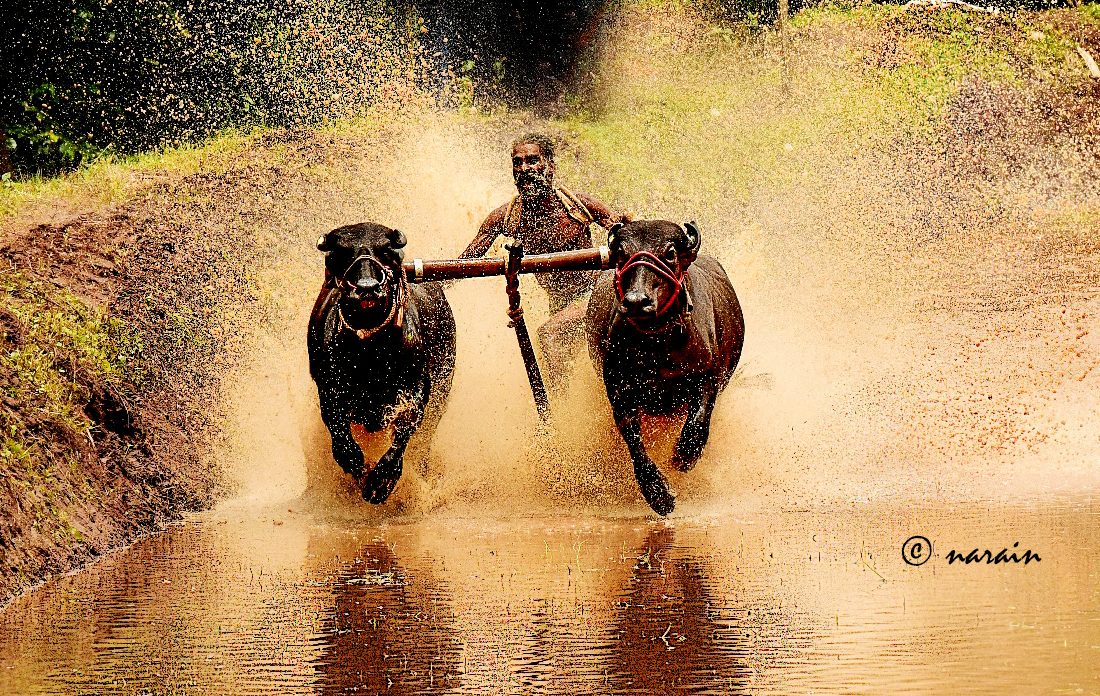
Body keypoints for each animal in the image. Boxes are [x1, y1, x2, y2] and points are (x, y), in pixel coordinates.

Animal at [308, 222, 456, 504]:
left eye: (386, 249)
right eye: (342, 251)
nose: (367, 287)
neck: (370, 353)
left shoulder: (416, 390)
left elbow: (405, 427)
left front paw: (382, 481)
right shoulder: (328, 391)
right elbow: (343, 443)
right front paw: (358, 468)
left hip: (443, 388)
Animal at [586, 220, 745, 516]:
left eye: (670, 253)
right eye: (621, 254)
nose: (637, 301)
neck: (658, 345)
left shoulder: (709, 373)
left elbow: (698, 419)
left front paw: (684, 455)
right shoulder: (617, 385)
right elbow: (632, 436)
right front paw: (658, 493)